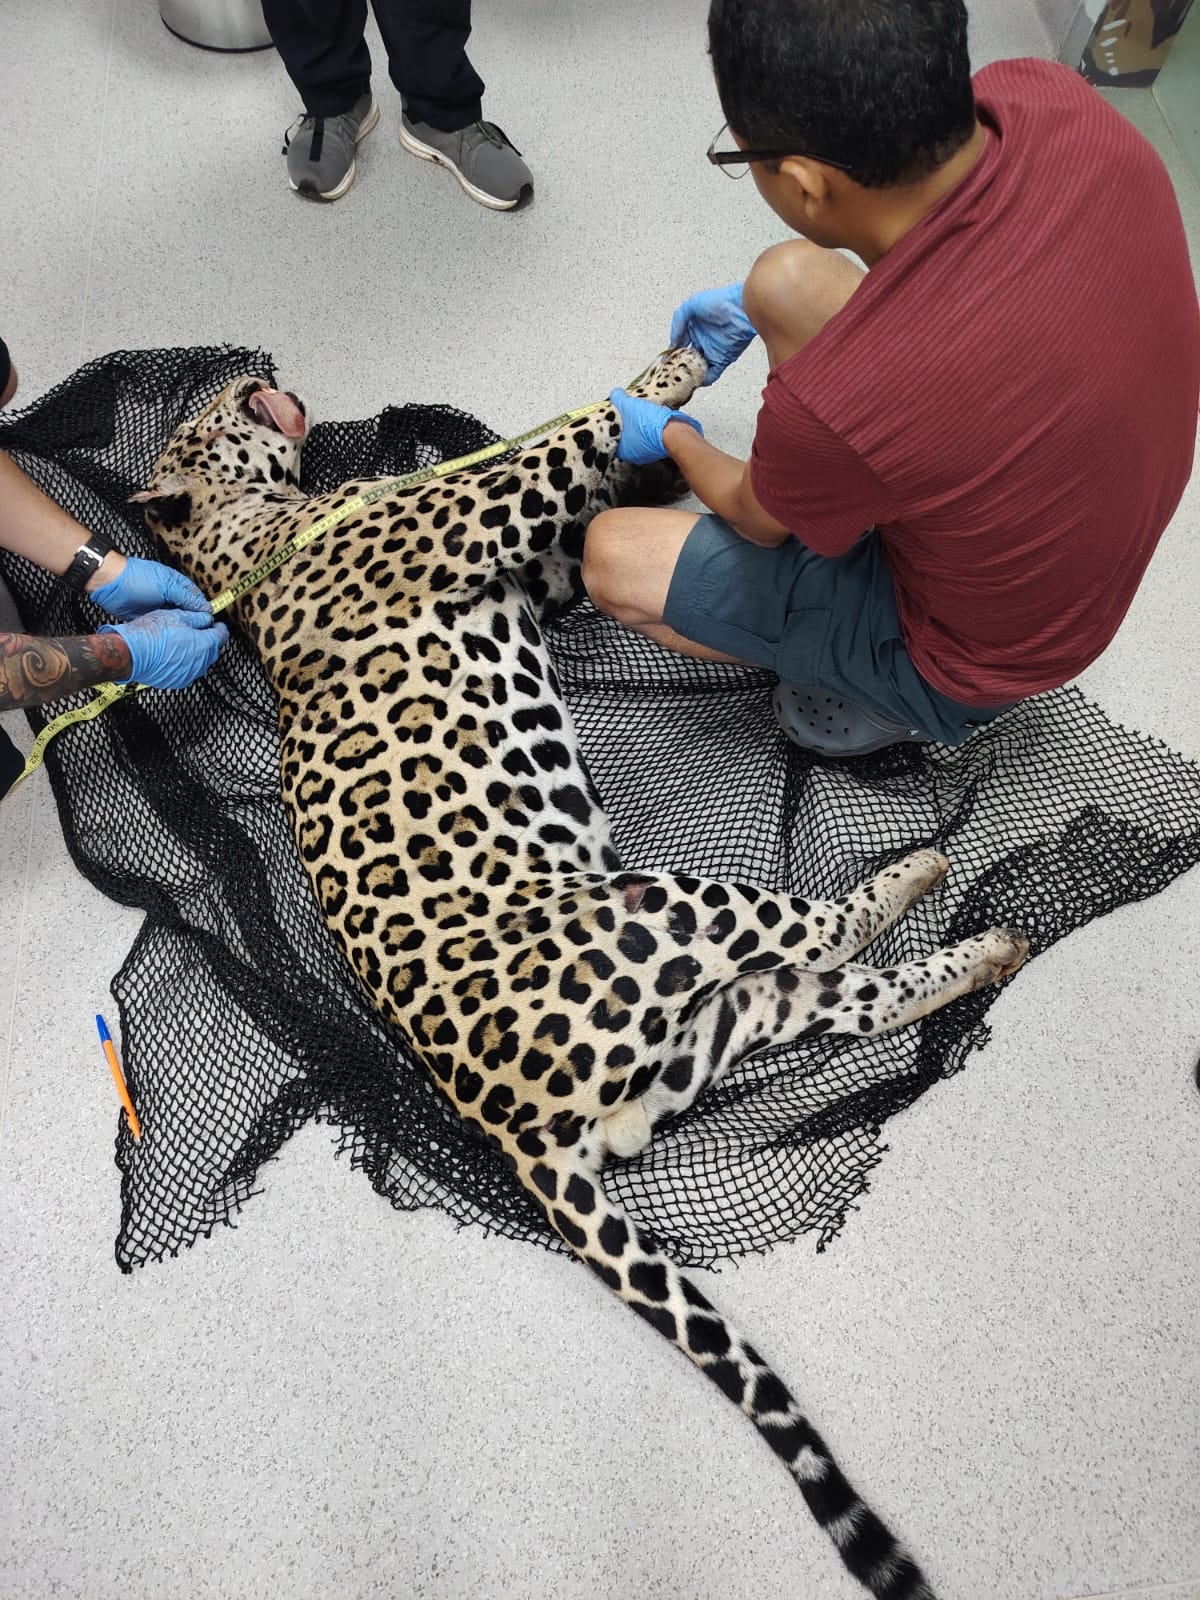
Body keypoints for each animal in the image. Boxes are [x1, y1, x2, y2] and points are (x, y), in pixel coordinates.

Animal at [133, 348, 1028, 1600]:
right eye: (211, 407)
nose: (255, 364)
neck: (250, 537)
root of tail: (515, 1134)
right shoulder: (475, 516)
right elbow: (577, 426)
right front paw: (685, 366)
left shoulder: (543, 571)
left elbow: (593, 497)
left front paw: (669, 450)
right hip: (668, 905)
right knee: (822, 935)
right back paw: (918, 879)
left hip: (713, 1018)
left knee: (838, 993)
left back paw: (976, 938)